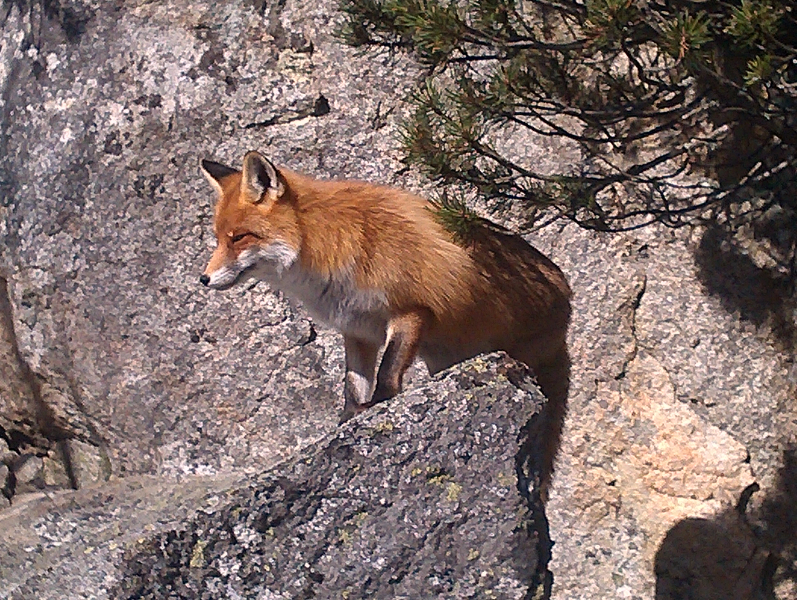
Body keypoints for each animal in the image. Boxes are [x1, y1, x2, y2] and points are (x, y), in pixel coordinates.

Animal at [200, 151, 571, 494]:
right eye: (218, 238)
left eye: (239, 237)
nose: (203, 279)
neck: (329, 244)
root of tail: (567, 298)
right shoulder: (356, 329)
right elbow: (353, 384)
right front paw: (348, 421)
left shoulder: (411, 311)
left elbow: (388, 372)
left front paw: (381, 406)